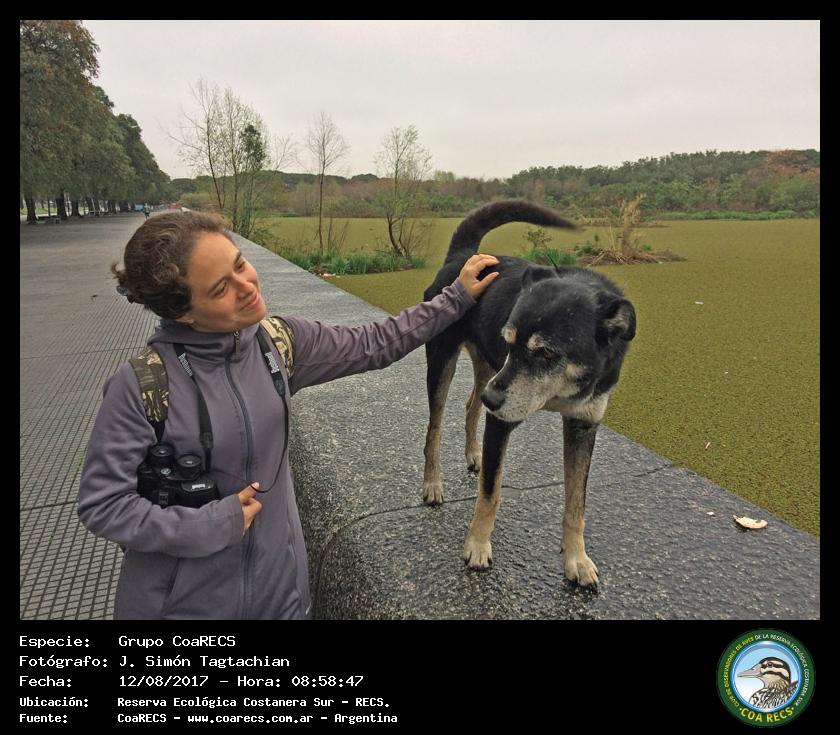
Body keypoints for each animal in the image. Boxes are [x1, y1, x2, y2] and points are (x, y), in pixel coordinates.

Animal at [422, 200, 636, 587]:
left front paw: (576, 559)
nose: (494, 399)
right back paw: (432, 483)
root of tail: (463, 255)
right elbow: (490, 493)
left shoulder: (583, 424)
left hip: (486, 367)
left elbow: (576, 504)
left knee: (471, 405)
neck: (560, 392)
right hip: (446, 362)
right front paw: (477, 546)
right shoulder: (501, 419)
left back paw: (473, 452)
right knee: (436, 426)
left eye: (546, 353)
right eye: (510, 341)